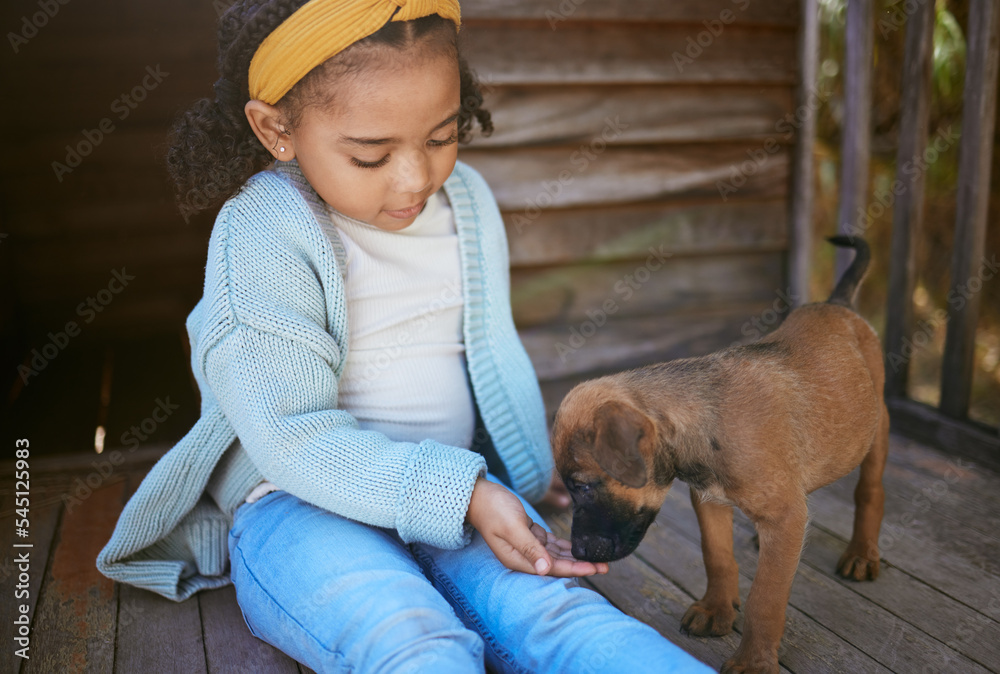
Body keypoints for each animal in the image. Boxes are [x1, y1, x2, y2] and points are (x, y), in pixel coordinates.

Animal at [552, 234, 888, 668]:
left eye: (584, 486)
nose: (577, 551)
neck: (704, 425)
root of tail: (837, 304)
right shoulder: (708, 500)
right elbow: (717, 556)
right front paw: (717, 608)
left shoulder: (778, 514)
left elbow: (766, 597)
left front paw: (754, 661)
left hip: (876, 427)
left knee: (870, 491)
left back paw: (862, 552)